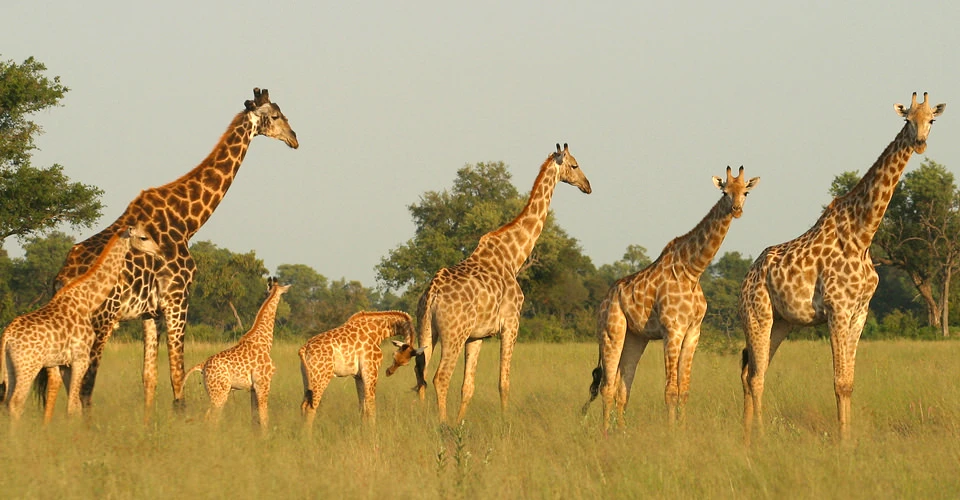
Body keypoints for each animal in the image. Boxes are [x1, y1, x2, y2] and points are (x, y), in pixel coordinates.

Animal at [1, 224, 159, 424]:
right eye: (144, 237)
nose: (159, 252)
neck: (88, 300)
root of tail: (6, 336)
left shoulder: (65, 363)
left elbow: (75, 405)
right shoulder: (81, 358)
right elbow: (72, 407)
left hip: (9, 367)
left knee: (7, 403)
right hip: (28, 366)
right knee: (16, 402)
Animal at [180, 278, 290, 429]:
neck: (265, 341)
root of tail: (202, 365)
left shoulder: (253, 388)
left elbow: (255, 417)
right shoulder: (263, 383)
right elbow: (264, 417)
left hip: (213, 392)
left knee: (207, 418)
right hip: (220, 393)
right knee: (211, 419)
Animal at [415, 143, 592, 424]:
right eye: (574, 165)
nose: (587, 185)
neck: (513, 257)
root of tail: (432, 293)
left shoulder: (476, 336)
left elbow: (468, 386)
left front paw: (460, 423)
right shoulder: (511, 322)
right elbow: (504, 381)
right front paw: (505, 421)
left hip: (426, 329)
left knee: (420, 373)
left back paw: (423, 420)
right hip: (453, 333)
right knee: (440, 377)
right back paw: (441, 424)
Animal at [581, 166, 760, 433]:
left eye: (745, 192)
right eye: (725, 191)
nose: (737, 209)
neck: (693, 271)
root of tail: (603, 301)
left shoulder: (693, 331)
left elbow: (684, 389)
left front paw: (682, 431)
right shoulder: (672, 330)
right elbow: (670, 390)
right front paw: (671, 432)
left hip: (636, 338)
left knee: (623, 389)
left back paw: (622, 432)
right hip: (611, 332)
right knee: (607, 387)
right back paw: (605, 434)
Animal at [739, 92, 946, 443]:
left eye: (931, 119)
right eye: (907, 119)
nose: (919, 143)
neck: (862, 237)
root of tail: (747, 278)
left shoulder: (859, 311)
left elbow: (848, 382)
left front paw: (848, 438)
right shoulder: (836, 308)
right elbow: (838, 382)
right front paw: (842, 441)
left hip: (782, 322)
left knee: (752, 370)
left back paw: (747, 433)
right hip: (758, 315)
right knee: (755, 376)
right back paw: (761, 436)